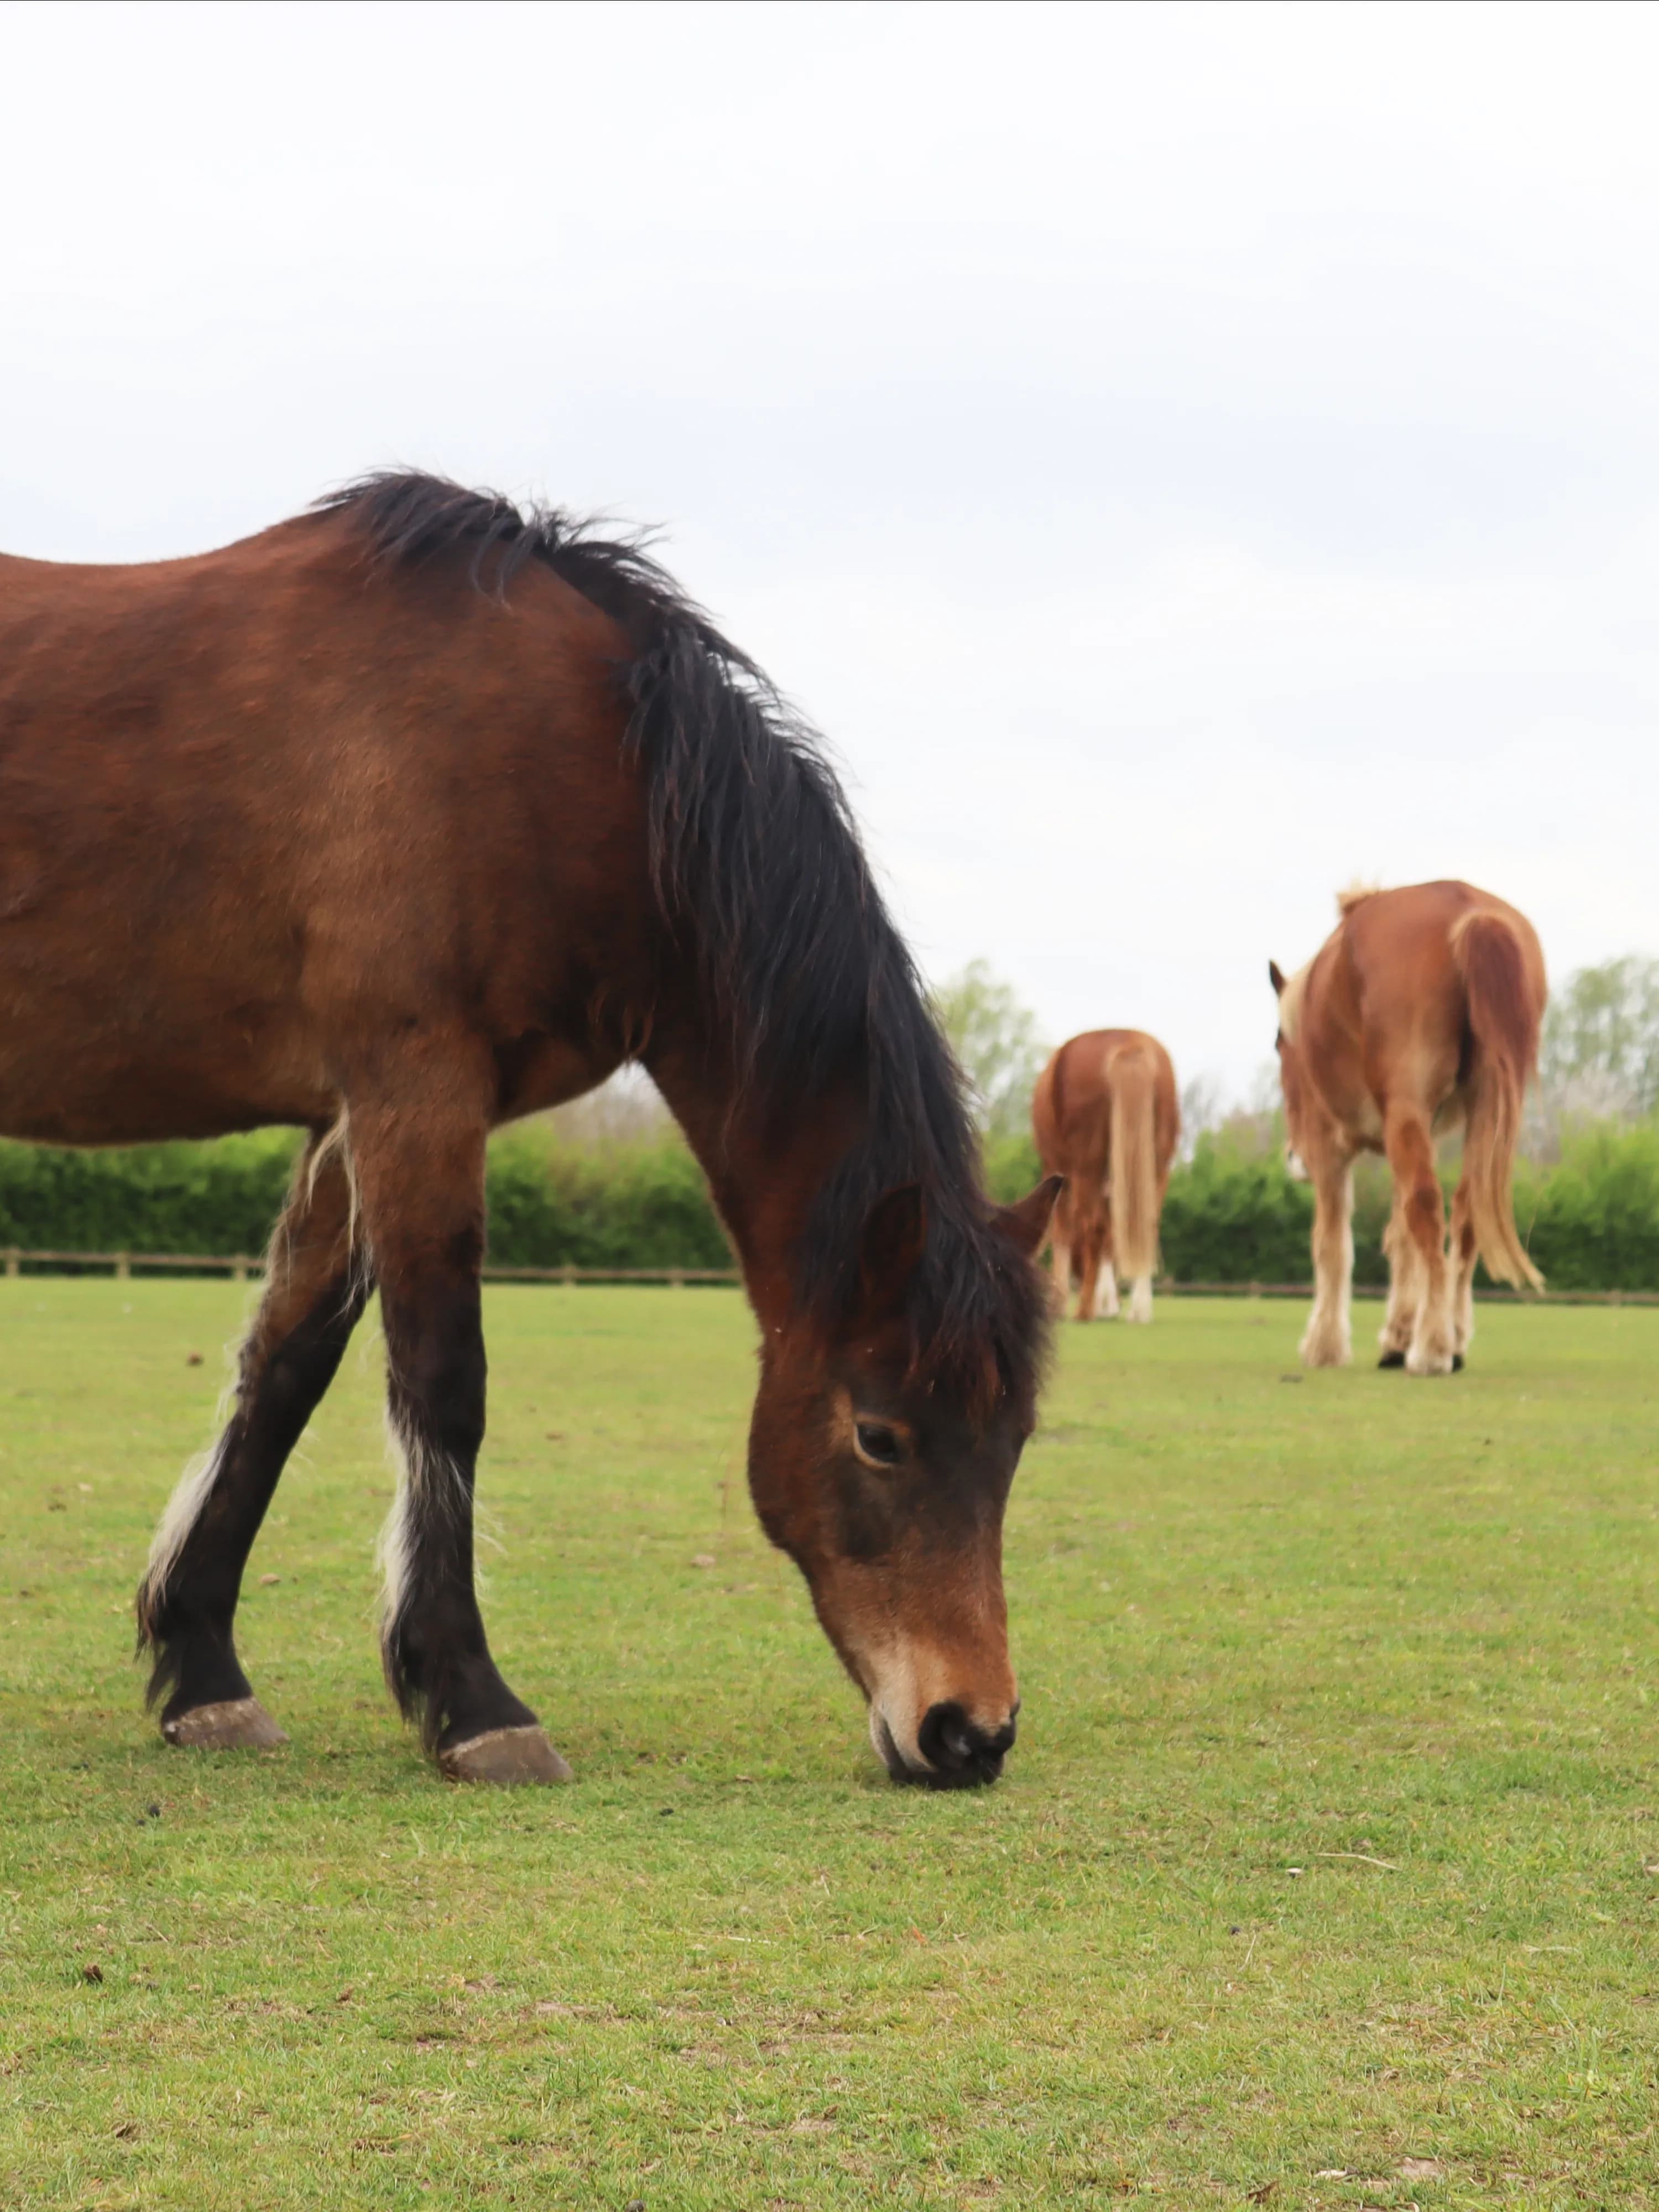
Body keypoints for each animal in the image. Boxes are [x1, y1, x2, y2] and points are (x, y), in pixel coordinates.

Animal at [0, 471, 1061, 1789]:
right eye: (880, 1435)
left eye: (1016, 1436)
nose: (972, 1730)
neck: (571, 764)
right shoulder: (415, 1085)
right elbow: (442, 1383)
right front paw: (472, 1701)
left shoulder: (349, 1117)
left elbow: (284, 1372)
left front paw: (203, 1673)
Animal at [1031, 1031, 1180, 1322]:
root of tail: (1128, 1043)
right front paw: (1108, 1303)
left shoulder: (1059, 1170)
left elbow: (1063, 1231)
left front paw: (1061, 1303)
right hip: (1157, 1168)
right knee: (1147, 1224)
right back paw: (1139, 1310)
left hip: (1088, 1166)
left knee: (1094, 1226)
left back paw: (1085, 1310)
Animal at [1269, 881, 1546, 1376]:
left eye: (1279, 1043)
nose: (1294, 1158)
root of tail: (1470, 912)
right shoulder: (1416, 1129)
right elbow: (1401, 1239)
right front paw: (1397, 1335)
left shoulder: (1330, 1144)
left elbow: (1332, 1242)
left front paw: (1324, 1345)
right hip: (1481, 1110)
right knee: (1465, 1210)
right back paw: (1450, 1338)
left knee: (1428, 1208)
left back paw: (1433, 1347)